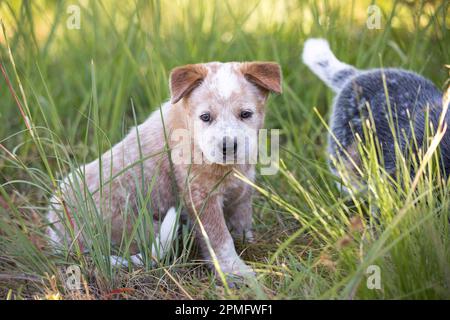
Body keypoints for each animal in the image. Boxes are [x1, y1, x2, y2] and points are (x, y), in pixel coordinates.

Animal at [48, 62, 282, 278]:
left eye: (245, 114)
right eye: (205, 117)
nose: (228, 147)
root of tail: (58, 238)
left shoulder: (241, 190)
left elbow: (242, 221)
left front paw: (248, 244)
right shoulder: (201, 198)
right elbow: (220, 239)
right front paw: (235, 272)